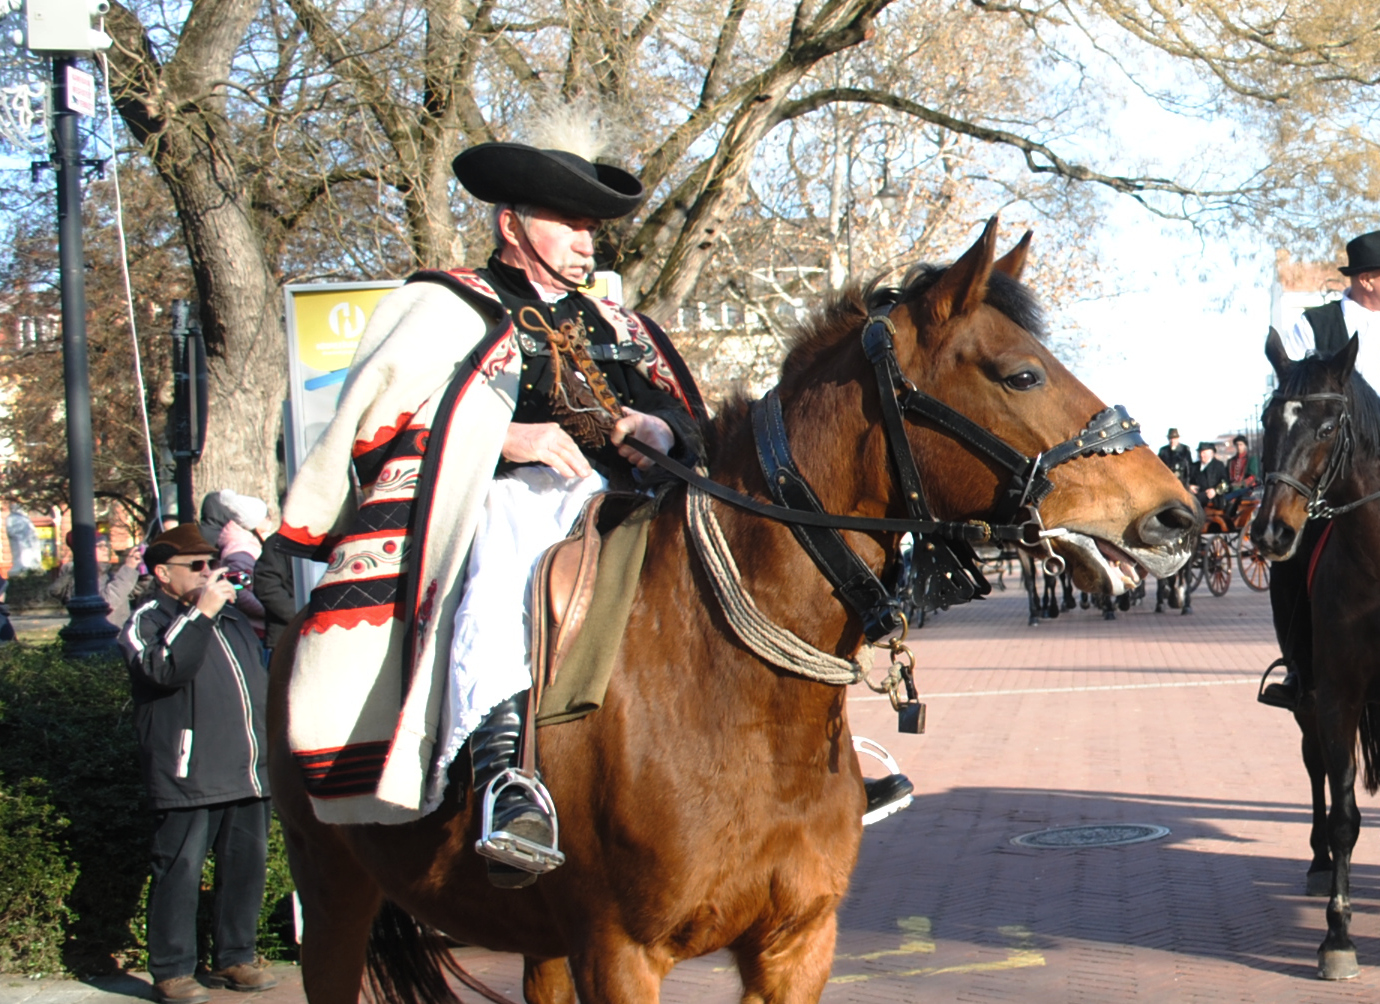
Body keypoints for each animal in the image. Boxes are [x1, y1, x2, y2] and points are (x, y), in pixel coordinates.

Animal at [271, 215, 1197, 998]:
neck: (739, 697)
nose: (1178, 515)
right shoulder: (621, 954)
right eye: (1021, 373)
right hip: (334, 895)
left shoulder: (795, 942)